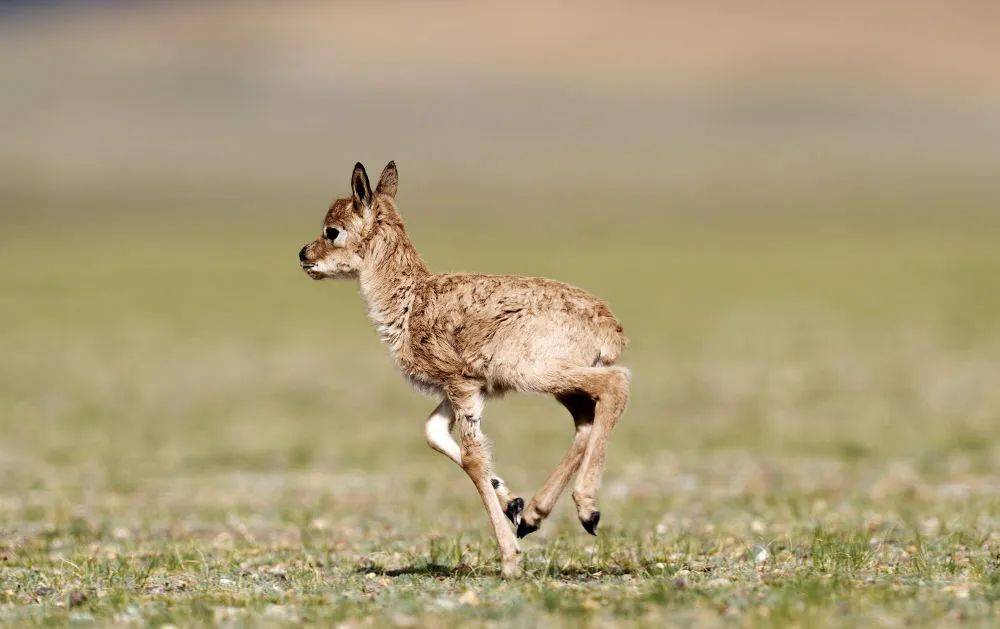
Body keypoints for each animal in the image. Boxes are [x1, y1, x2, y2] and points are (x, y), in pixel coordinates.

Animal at [296, 163, 628, 580]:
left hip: (544, 375)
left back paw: (587, 510)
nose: (303, 255)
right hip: (560, 386)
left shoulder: (461, 384)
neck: (411, 302)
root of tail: (611, 327)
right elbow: (433, 432)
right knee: (586, 419)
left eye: (332, 231)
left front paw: (509, 558)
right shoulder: (465, 390)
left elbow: (472, 457)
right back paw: (534, 514)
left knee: (616, 385)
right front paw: (512, 503)